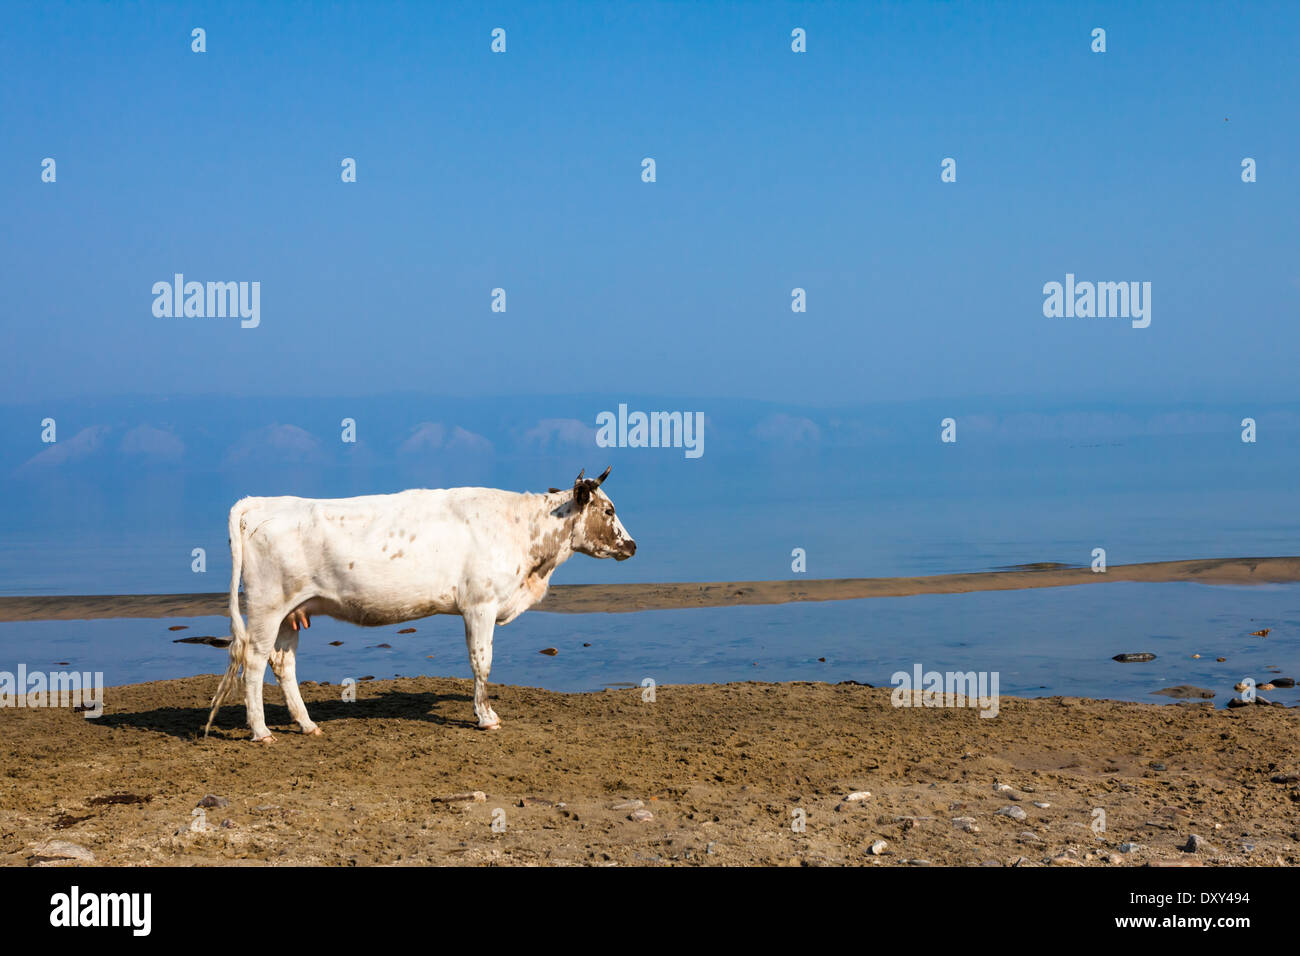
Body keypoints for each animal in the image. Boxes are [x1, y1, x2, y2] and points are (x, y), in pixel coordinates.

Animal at [205, 468, 637, 743]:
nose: (631, 545)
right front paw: (486, 718)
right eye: (609, 509)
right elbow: (482, 662)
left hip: (292, 613)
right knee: (254, 662)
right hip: (267, 606)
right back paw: (261, 732)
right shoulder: (480, 604)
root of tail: (261, 503)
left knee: (283, 663)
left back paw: (307, 724)